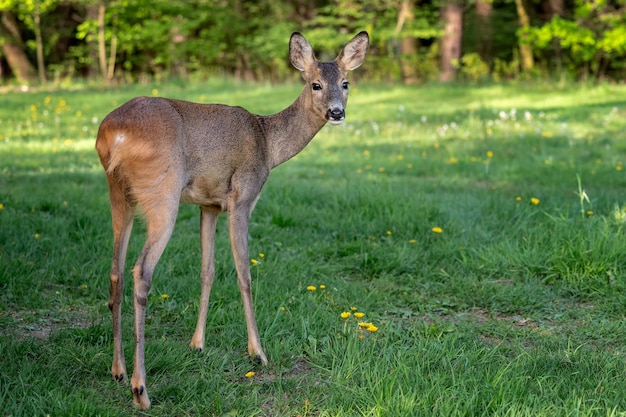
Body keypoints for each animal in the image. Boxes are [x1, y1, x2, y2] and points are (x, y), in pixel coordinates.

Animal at [93, 30, 366, 408]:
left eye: (345, 82)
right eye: (315, 84)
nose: (336, 112)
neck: (269, 143)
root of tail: (113, 134)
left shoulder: (208, 205)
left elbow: (207, 271)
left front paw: (197, 344)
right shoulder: (242, 198)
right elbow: (244, 274)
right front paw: (258, 352)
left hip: (119, 194)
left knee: (116, 271)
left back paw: (118, 370)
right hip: (162, 192)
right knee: (140, 271)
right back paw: (141, 389)